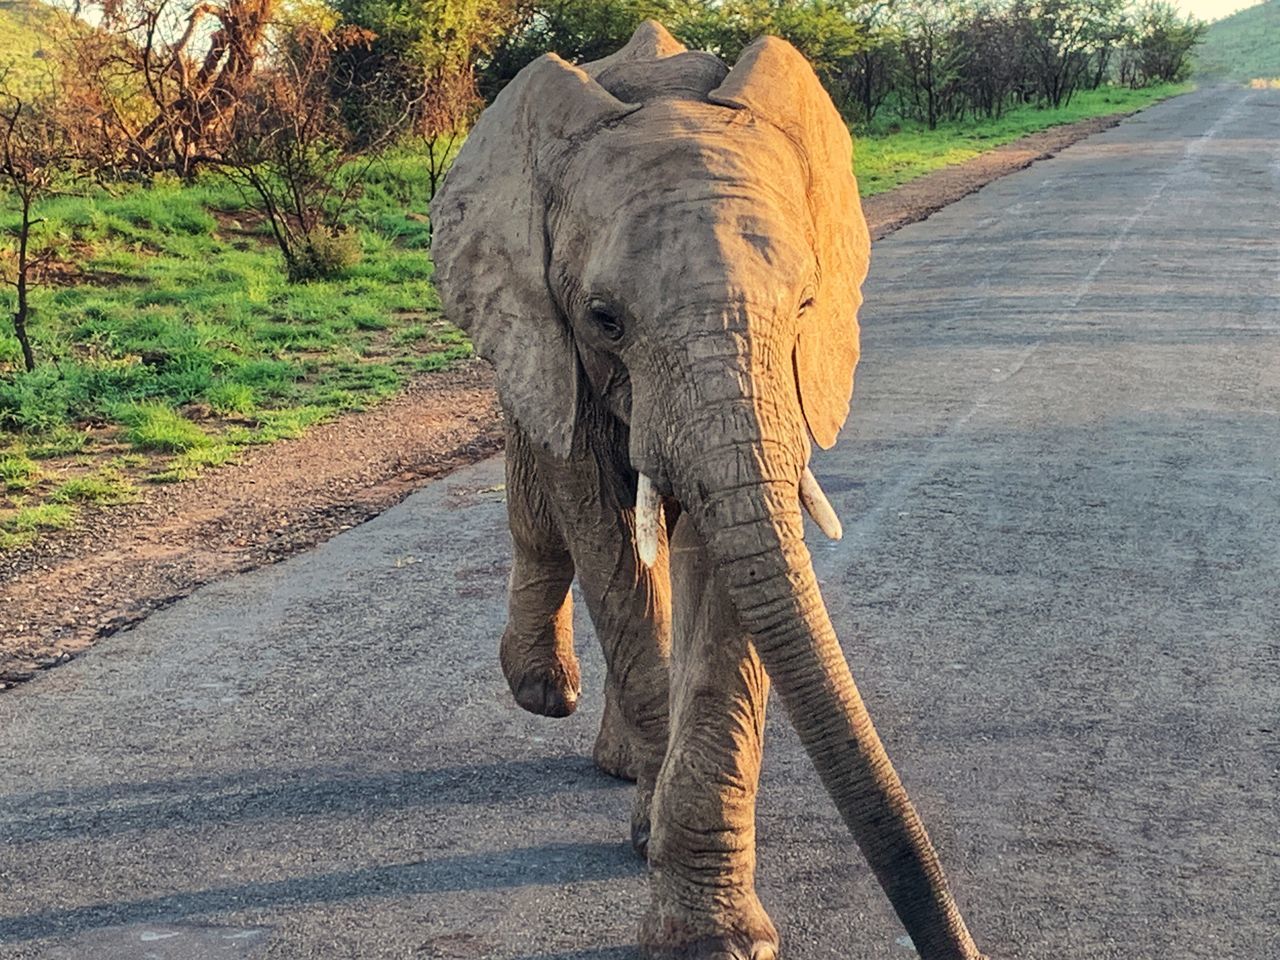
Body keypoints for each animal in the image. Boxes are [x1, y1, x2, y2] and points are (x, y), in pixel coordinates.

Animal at [424, 18, 983, 960]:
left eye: (806, 303)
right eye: (605, 319)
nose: (965, 943)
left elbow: (733, 574)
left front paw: (714, 934)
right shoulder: (551, 330)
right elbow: (603, 534)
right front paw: (661, 855)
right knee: (541, 508)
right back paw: (549, 694)